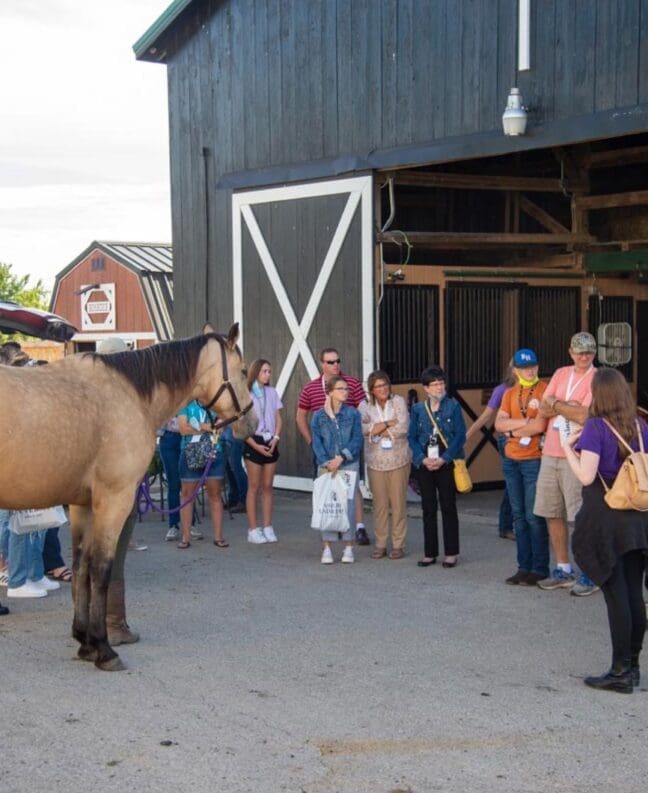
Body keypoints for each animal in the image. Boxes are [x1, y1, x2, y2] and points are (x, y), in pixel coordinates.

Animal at [0, 322, 256, 668]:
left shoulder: (82, 505)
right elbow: (101, 568)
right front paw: (102, 648)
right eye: (242, 370)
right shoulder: (114, 500)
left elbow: (81, 566)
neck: (130, 394)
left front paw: (83, 640)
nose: (252, 423)